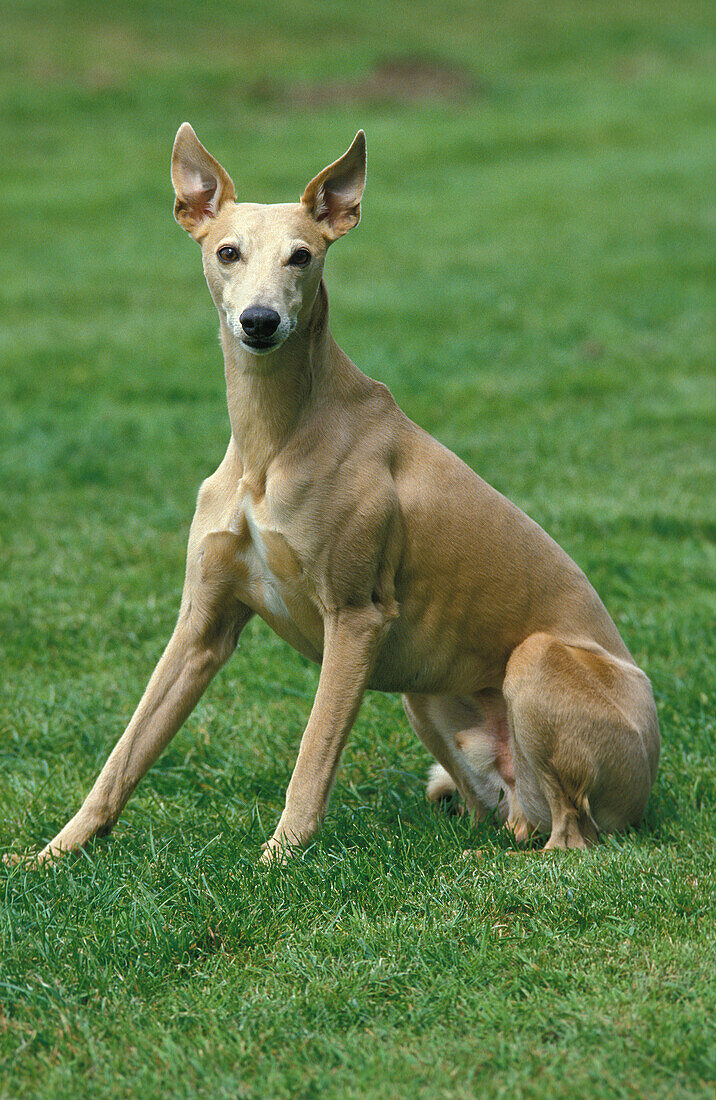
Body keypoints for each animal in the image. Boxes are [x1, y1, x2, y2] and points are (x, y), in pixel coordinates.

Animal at [11, 126, 659, 866]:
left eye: (303, 256)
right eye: (227, 251)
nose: (259, 322)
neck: (271, 443)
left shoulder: (355, 618)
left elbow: (313, 754)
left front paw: (277, 861)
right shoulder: (202, 623)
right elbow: (124, 754)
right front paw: (52, 854)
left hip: (536, 663)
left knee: (572, 839)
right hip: (427, 700)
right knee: (514, 819)